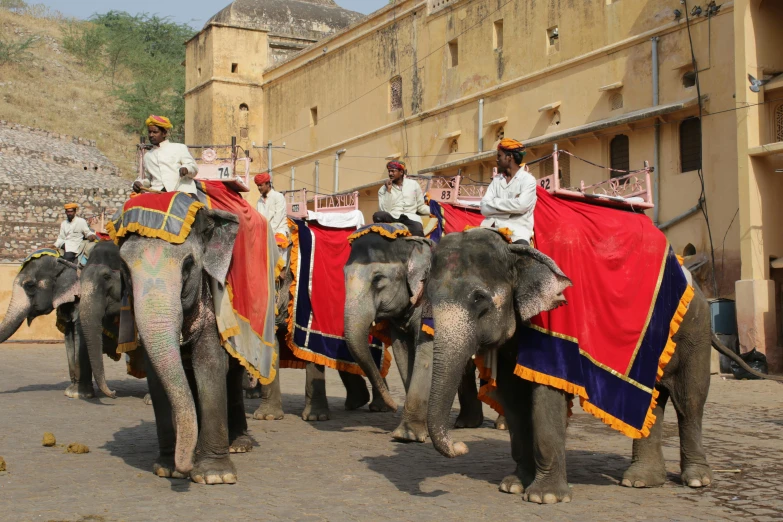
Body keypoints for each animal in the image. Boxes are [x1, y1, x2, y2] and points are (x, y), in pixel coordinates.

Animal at [118, 204, 251, 484]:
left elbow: (210, 364)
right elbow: (157, 377)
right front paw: (167, 469)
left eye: (188, 265)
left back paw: (238, 444)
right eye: (124, 268)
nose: (186, 467)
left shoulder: (213, 305)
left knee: (233, 375)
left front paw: (214, 475)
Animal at [422, 229, 776, 504]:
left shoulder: (556, 326)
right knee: (653, 402)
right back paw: (641, 481)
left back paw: (697, 480)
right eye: (428, 296)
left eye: (479, 299)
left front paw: (544, 497)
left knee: (690, 401)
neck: (517, 249)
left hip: (695, 330)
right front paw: (512, 486)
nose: (461, 445)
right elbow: (514, 400)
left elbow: (546, 395)